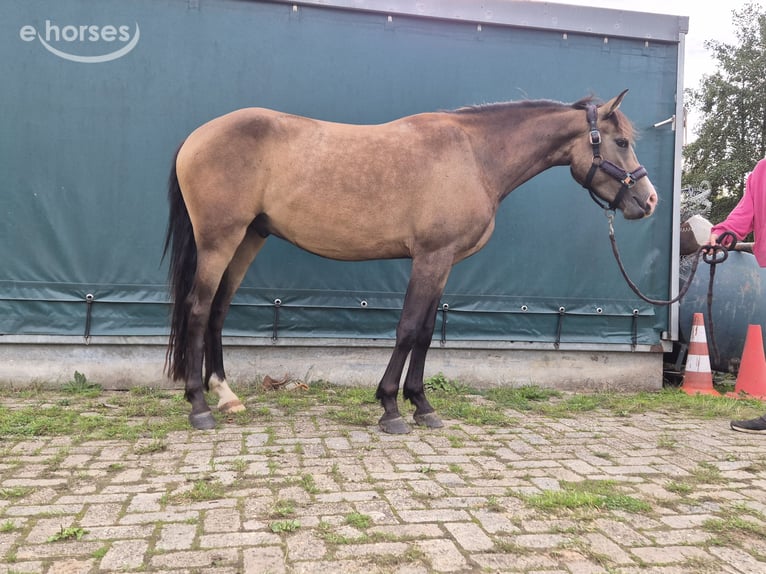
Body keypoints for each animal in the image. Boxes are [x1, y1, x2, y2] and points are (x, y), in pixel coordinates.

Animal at [163, 89, 658, 434]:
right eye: (619, 141)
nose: (649, 200)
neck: (474, 155)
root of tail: (196, 137)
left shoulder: (444, 262)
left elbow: (424, 331)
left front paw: (422, 406)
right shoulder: (430, 257)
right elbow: (406, 328)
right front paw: (390, 408)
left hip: (249, 238)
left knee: (218, 311)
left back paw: (226, 395)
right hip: (219, 240)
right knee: (198, 309)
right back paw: (200, 407)